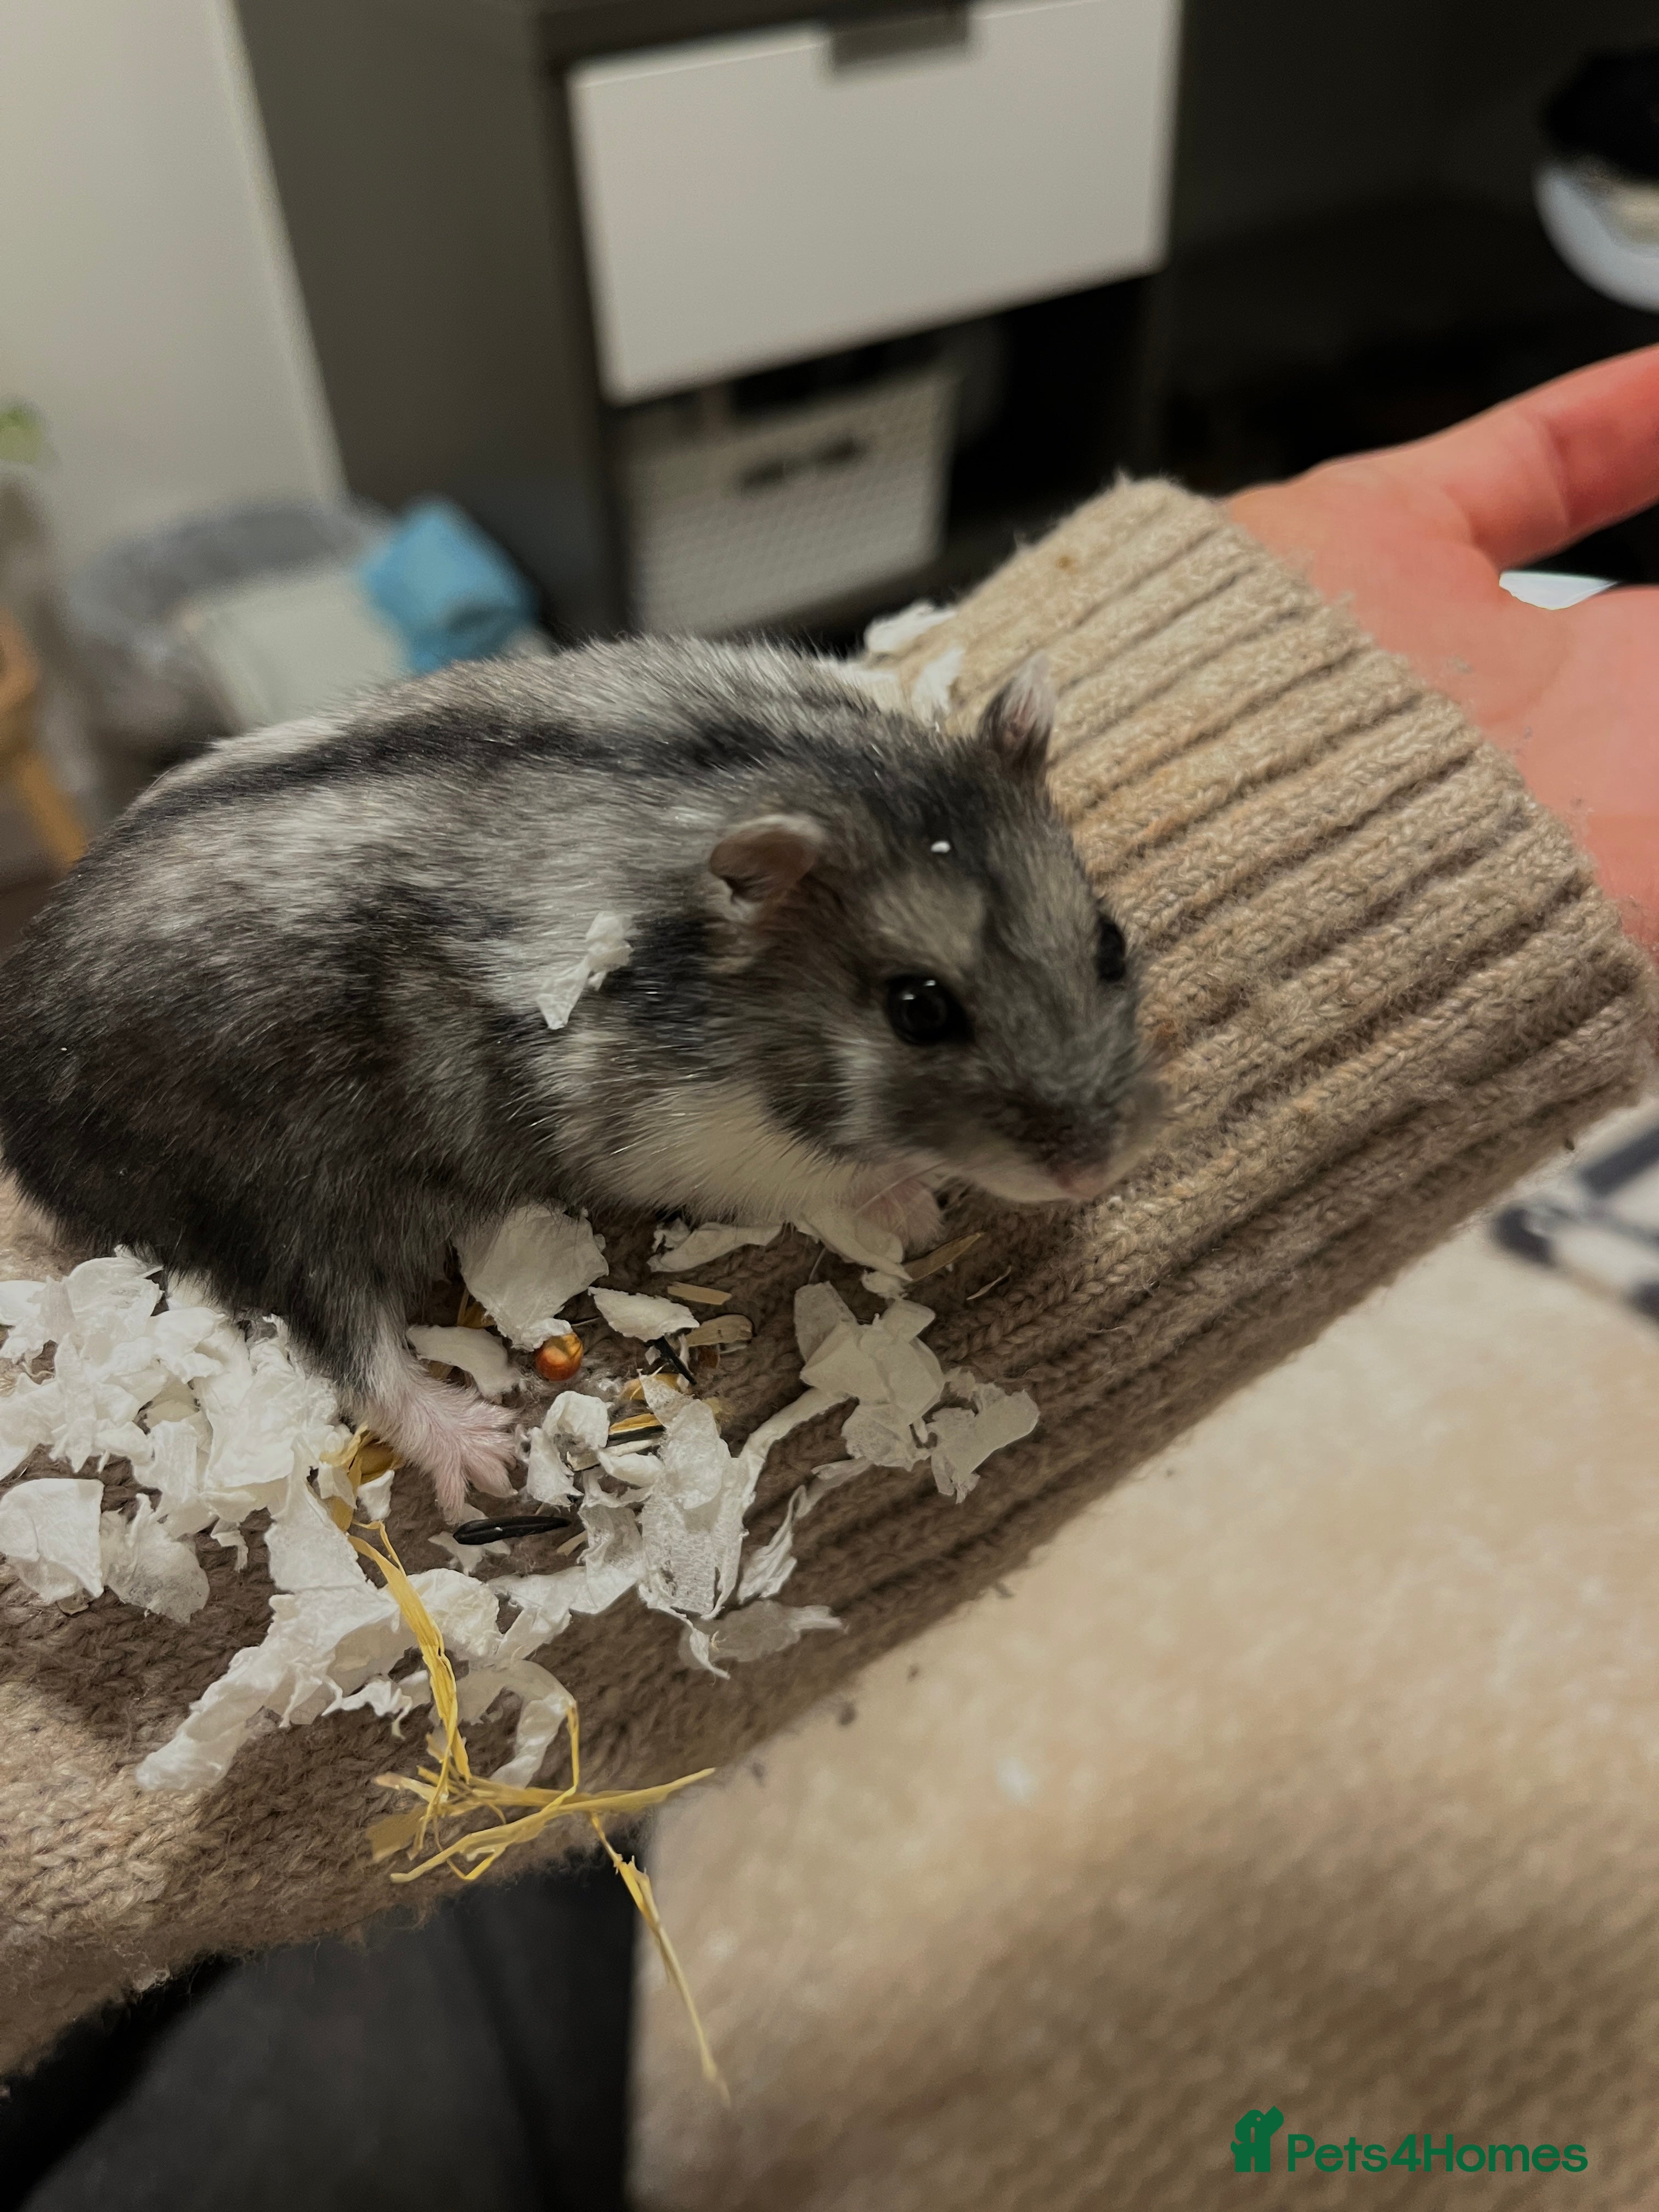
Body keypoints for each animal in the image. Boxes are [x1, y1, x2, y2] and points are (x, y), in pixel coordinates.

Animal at [0, 639, 1158, 1517]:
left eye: (1108, 942)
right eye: (917, 1010)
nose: (1095, 1172)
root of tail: (27, 1103)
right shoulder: (673, 1130)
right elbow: (813, 1180)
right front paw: (911, 1205)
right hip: (275, 1191)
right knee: (343, 1343)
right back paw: (480, 1450)